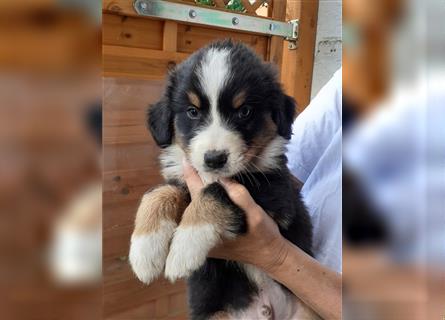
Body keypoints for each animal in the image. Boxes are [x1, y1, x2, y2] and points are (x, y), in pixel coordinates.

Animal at [128, 40, 316, 320]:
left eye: (244, 111)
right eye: (192, 112)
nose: (214, 159)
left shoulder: (277, 195)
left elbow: (215, 191)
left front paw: (184, 247)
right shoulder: (182, 177)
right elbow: (158, 192)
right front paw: (144, 250)